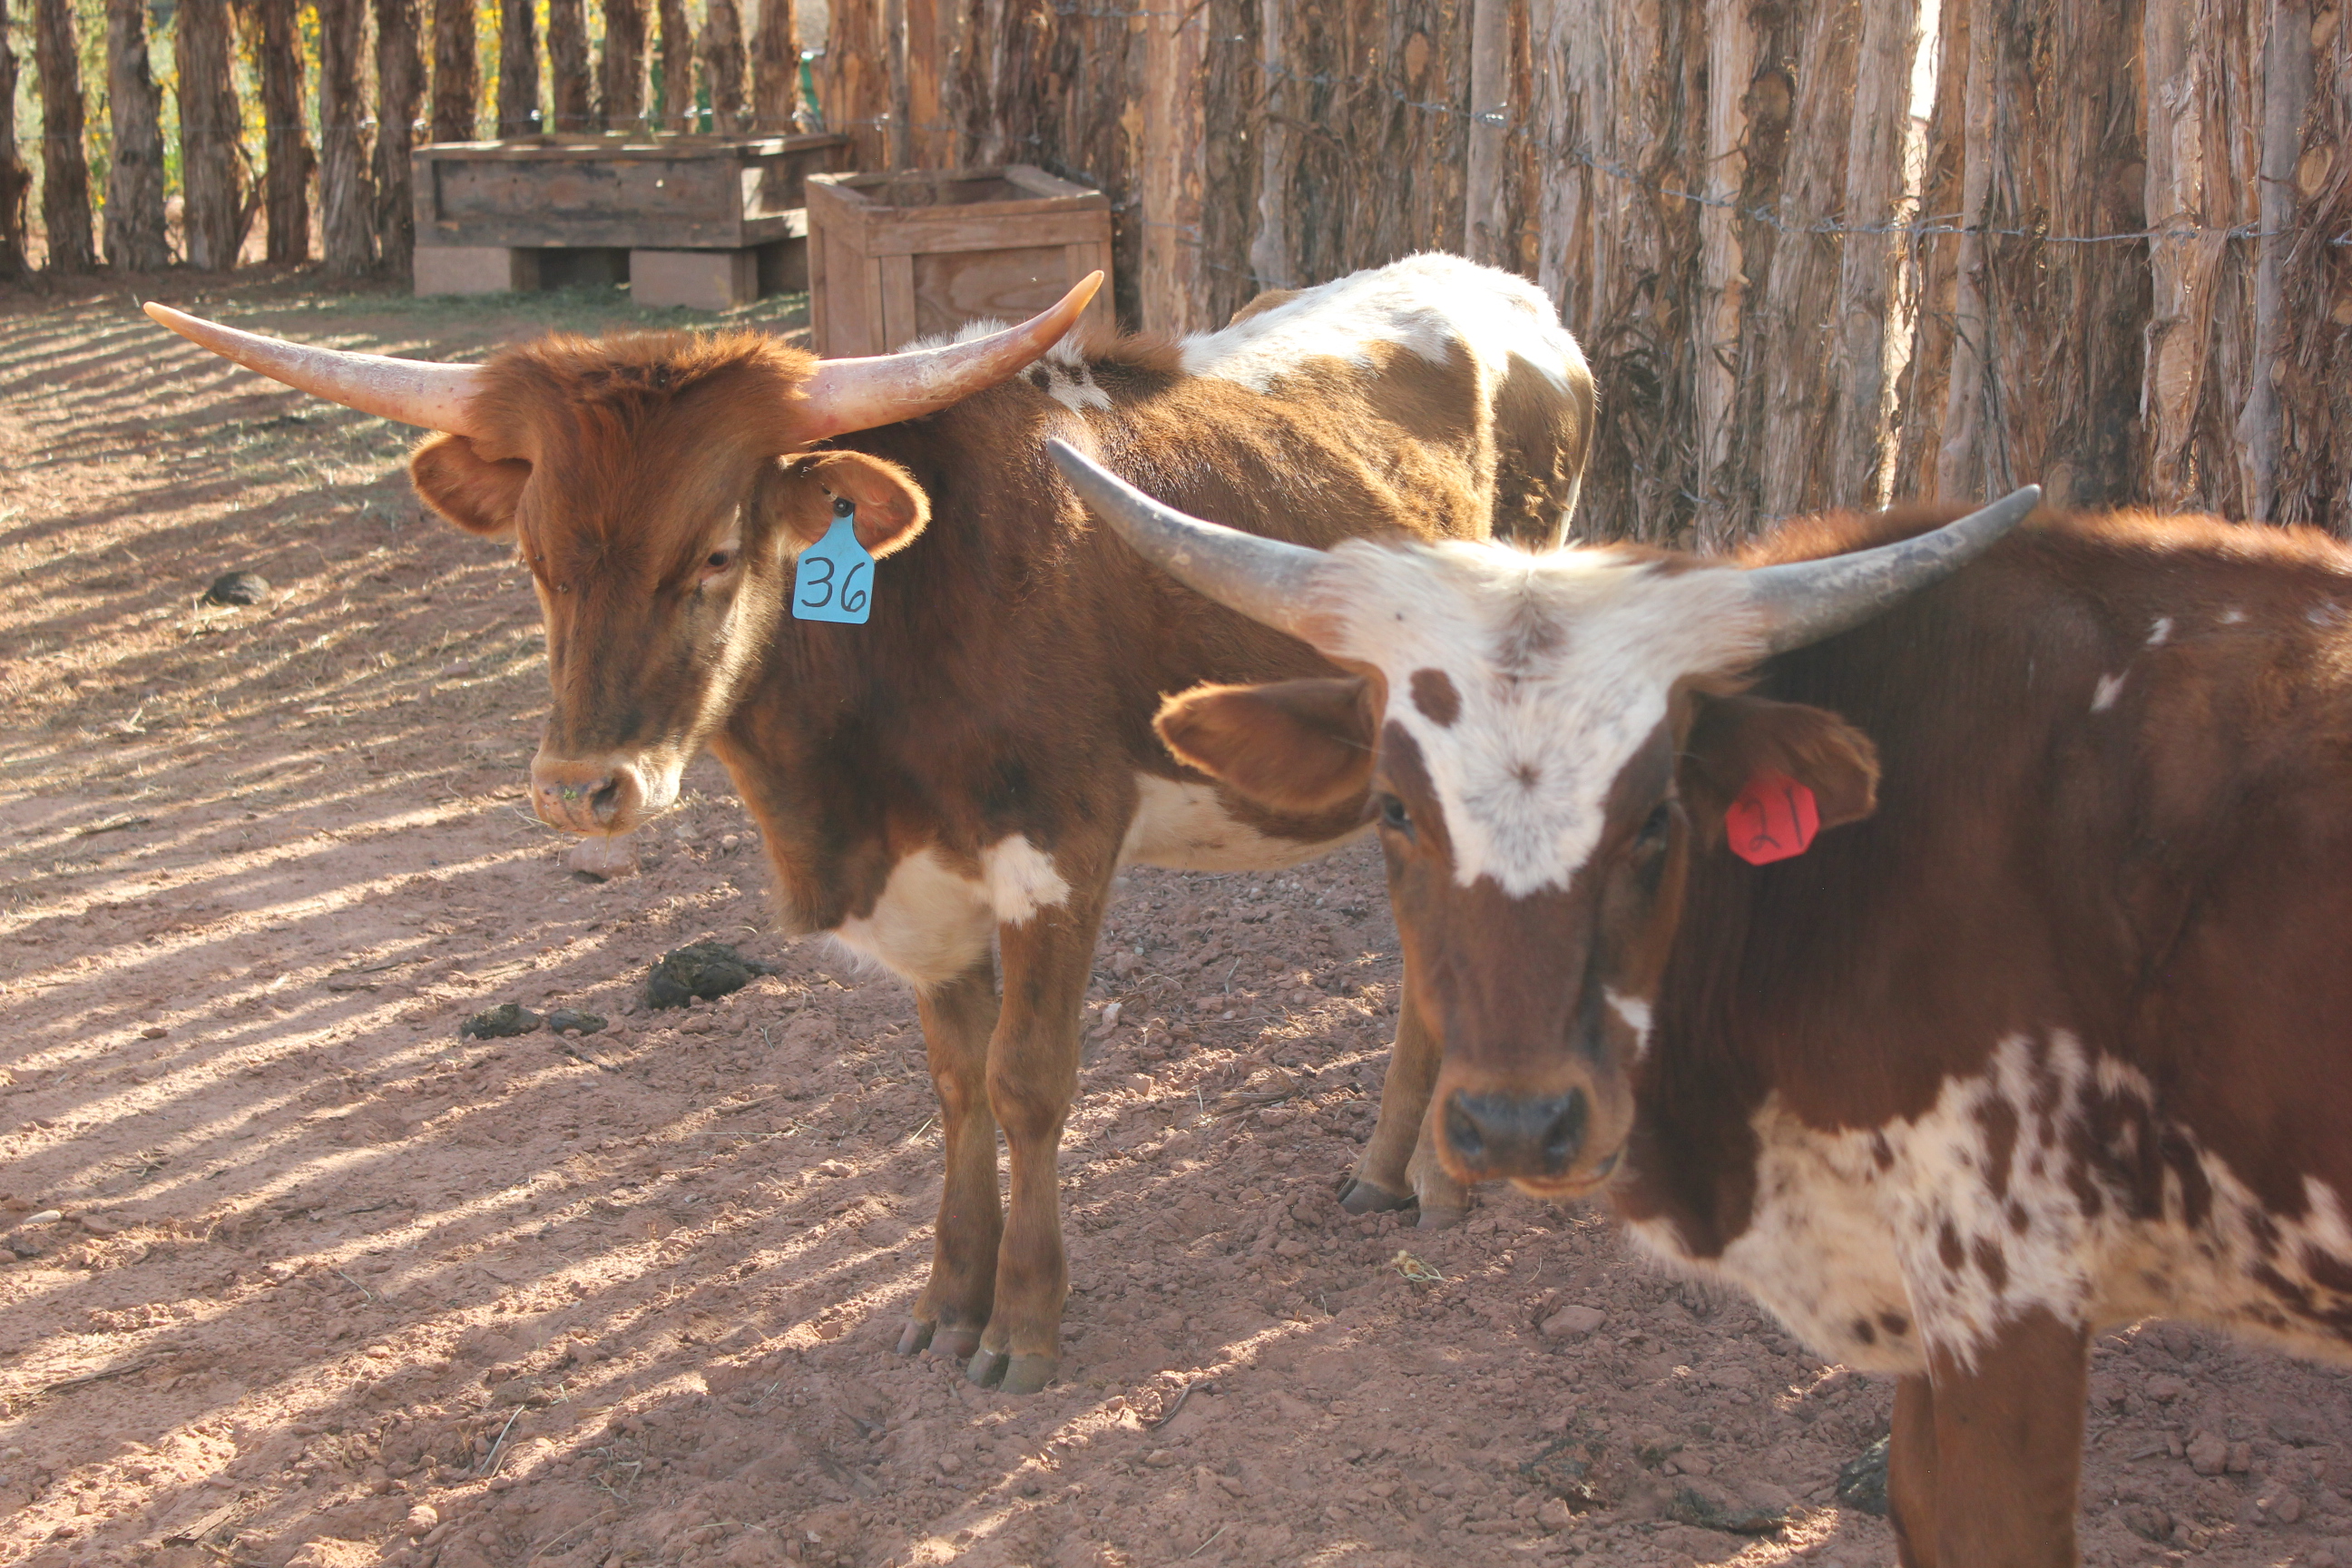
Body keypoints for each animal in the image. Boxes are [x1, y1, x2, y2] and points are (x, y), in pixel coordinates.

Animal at [146, 252, 1596, 1393]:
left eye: (713, 554)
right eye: (535, 561)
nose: (582, 791)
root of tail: (1504, 289)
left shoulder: (1060, 852)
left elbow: (1027, 1080)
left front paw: (1024, 1328)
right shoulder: (922, 892)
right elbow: (954, 1087)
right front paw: (946, 1305)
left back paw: (1444, 1183)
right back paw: (1390, 1168)